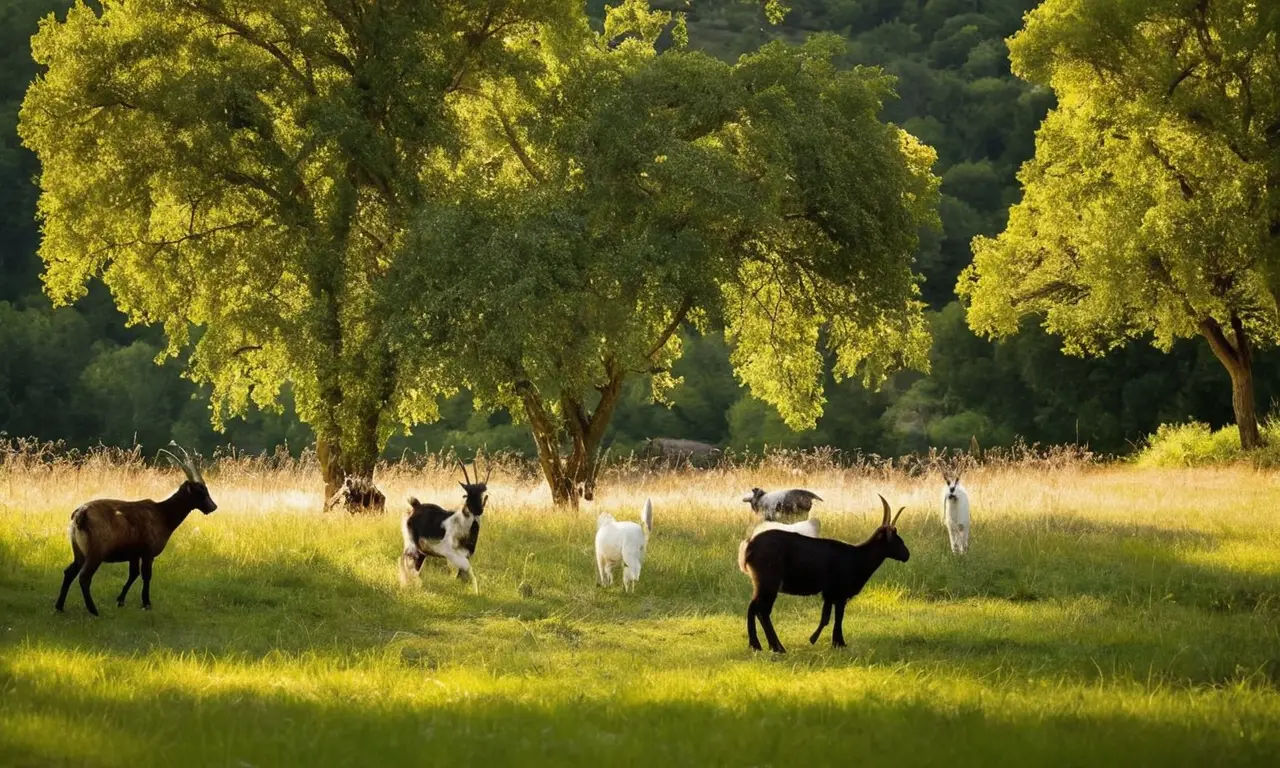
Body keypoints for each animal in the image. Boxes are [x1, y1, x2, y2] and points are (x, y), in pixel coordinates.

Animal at [55, 445, 216, 616]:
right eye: (201, 490)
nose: (213, 507)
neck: (163, 514)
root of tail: (81, 514)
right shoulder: (148, 553)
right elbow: (146, 575)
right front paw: (146, 603)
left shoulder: (134, 553)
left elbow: (133, 574)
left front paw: (120, 600)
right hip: (96, 553)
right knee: (84, 577)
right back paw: (94, 611)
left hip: (79, 551)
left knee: (69, 572)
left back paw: (59, 607)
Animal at [400, 459, 488, 593]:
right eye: (468, 495)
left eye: (482, 495)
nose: (479, 510)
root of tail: (416, 505)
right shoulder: (446, 550)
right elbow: (467, 568)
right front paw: (476, 592)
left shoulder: (466, 554)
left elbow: (462, 573)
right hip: (410, 541)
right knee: (405, 559)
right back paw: (406, 583)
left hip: (422, 550)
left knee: (416, 564)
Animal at [741, 495, 908, 653]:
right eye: (896, 538)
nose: (907, 555)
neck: (857, 557)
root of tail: (749, 546)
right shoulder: (840, 593)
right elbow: (837, 617)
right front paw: (837, 643)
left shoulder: (829, 593)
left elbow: (826, 617)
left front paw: (820, 640)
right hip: (769, 582)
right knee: (761, 610)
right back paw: (772, 647)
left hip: (763, 583)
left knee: (755, 608)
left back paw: (764, 645)